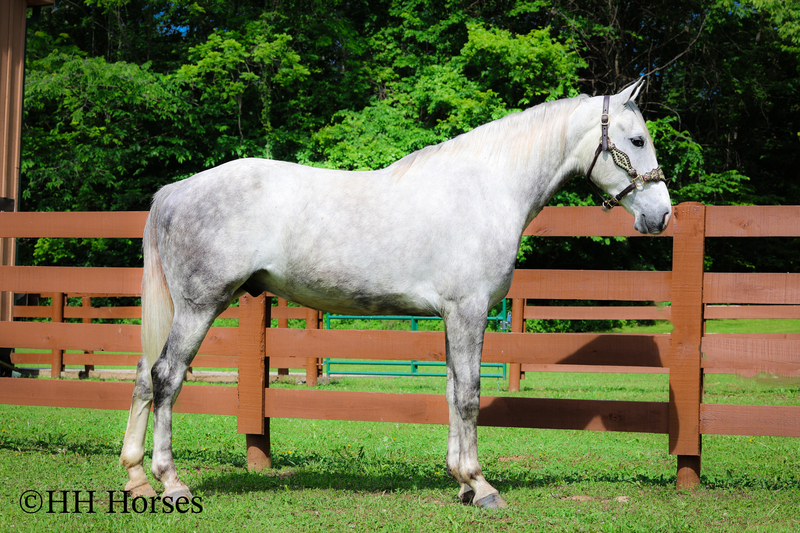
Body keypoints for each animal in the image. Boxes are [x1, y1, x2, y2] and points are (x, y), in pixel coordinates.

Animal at [120, 78, 671, 509]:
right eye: (637, 139)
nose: (662, 214)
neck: (487, 191)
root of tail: (175, 191)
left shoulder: (453, 317)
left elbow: (451, 390)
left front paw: (461, 482)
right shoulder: (468, 312)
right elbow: (469, 395)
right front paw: (481, 486)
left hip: (180, 312)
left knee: (145, 378)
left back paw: (137, 479)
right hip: (200, 308)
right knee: (167, 378)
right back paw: (171, 483)